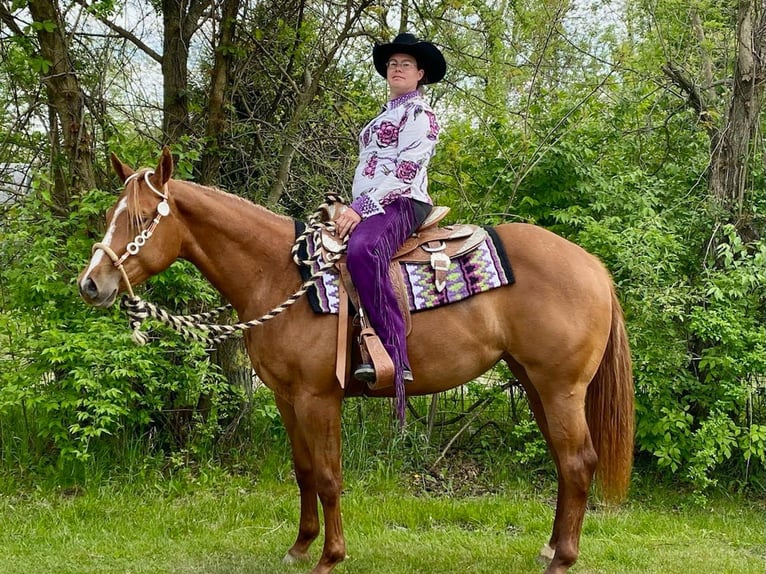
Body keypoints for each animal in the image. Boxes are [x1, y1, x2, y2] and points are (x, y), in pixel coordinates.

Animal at [78, 147, 634, 574]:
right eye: (110, 215)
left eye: (141, 219)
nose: (91, 284)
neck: (283, 277)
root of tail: (592, 265)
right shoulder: (286, 397)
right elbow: (304, 470)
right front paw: (300, 547)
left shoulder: (318, 397)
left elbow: (328, 476)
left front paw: (330, 557)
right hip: (535, 383)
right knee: (564, 462)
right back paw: (551, 548)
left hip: (561, 387)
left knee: (578, 462)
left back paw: (563, 559)